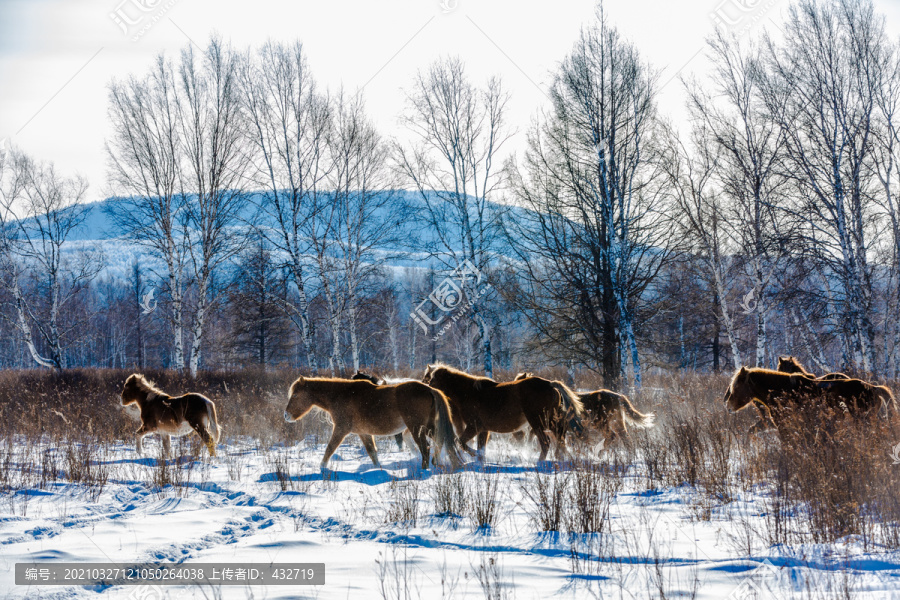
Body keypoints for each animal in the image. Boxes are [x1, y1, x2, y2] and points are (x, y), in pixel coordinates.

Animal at [284, 376, 468, 468]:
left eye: (295, 395)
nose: (286, 415)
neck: (341, 395)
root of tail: (429, 389)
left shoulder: (341, 430)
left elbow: (330, 448)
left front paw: (322, 467)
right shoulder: (364, 433)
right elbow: (372, 452)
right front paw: (377, 469)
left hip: (417, 428)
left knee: (426, 448)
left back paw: (425, 469)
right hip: (428, 427)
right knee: (440, 441)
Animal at [422, 364, 584, 462]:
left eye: (432, 380)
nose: (427, 389)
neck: (470, 393)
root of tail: (550, 384)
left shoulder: (474, 426)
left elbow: (461, 443)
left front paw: (474, 455)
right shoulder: (483, 430)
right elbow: (480, 447)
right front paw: (480, 460)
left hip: (538, 422)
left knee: (546, 442)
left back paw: (540, 463)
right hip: (550, 421)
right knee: (560, 438)